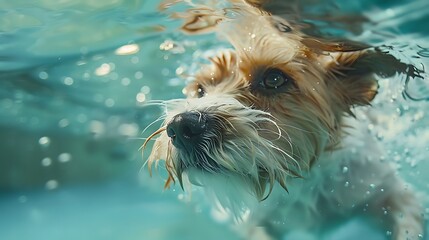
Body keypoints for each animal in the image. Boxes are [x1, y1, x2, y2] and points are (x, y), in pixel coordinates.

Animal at [143, 0, 422, 239]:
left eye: (274, 79)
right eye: (200, 90)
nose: (181, 126)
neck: (303, 180)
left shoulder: (387, 191)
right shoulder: (257, 221)